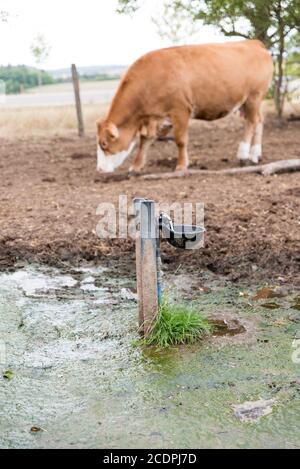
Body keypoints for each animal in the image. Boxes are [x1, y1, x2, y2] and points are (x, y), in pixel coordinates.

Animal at [96, 39, 274, 172]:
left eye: (104, 143)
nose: (99, 169)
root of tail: (254, 43)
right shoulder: (155, 117)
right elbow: (145, 140)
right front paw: (136, 166)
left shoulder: (180, 110)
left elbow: (180, 140)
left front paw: (181, 165)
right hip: (251, 102)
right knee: (259, 121)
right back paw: (255, 155)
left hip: (254, 96)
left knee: (251, 122)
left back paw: (243, 155)